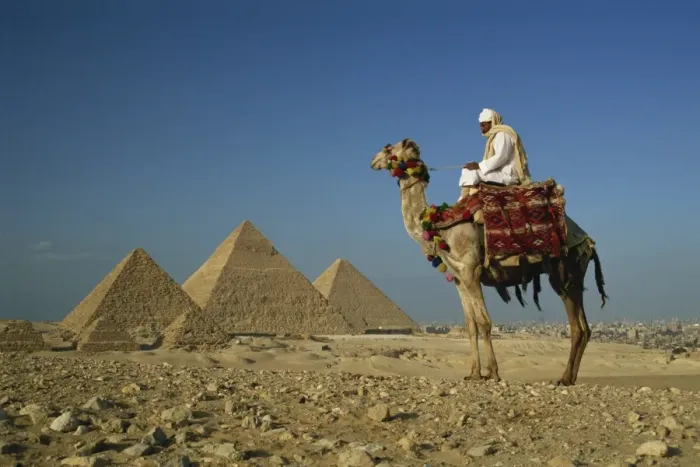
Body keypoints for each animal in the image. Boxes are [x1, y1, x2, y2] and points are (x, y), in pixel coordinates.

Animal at [369, 138, 608, 386]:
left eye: (389, 148)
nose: (373, 160)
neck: (439, 227)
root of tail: (587, 240)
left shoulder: (471, 271)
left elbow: (484, 322)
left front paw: (492, 372)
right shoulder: (459, 278)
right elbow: (471, 325)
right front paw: (474, 373)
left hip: (565, 271)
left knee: (577, 327)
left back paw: (564, 378)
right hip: (573, 275)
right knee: (584, 327)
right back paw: (569, 377)